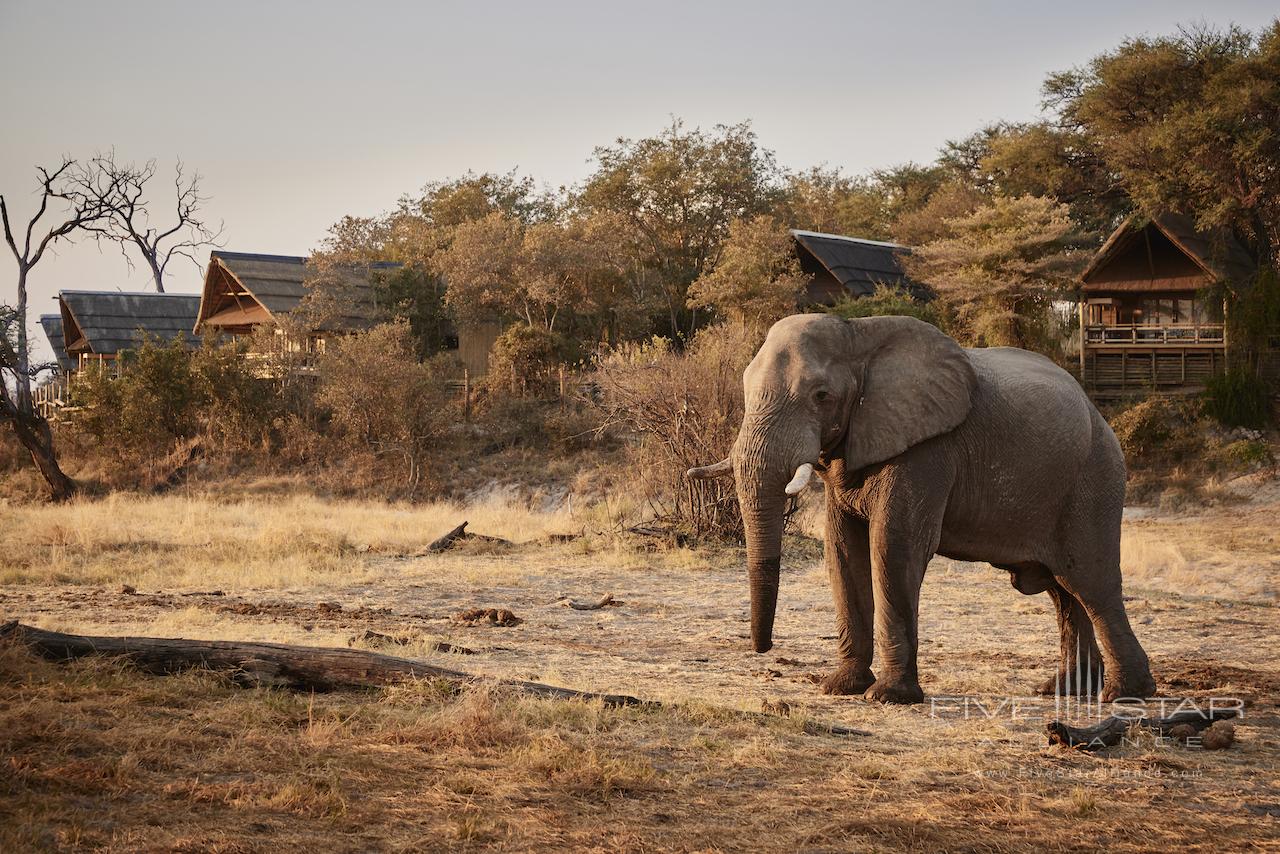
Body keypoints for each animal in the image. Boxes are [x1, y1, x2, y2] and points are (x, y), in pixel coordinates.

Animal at [691, 311, 1162, 706]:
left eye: (821, 395)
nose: (763, 648)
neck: (858, 335)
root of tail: (1098, 415)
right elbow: (842, 552)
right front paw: (840, 687)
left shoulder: (929, 450)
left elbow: (893, 548)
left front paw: (888, 697)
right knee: (1063, 590)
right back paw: (1063, 691)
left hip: (1094, 479)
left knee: (1090, 582)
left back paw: (1124, 695)